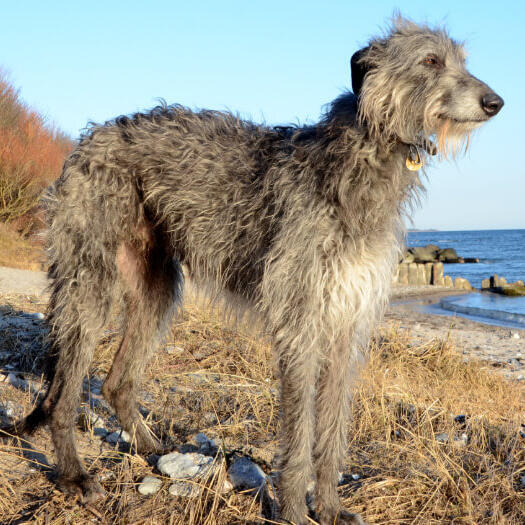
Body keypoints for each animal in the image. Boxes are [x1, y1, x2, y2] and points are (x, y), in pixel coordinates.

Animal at [4, 16, 504, 524]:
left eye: (461, 60)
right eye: (431, 60)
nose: (495, 102)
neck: (361, 156)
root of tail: (88, 140)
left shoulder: (346, 321)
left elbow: (332, 429)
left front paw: (329, 507)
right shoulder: (301, 320)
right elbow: (301, 432)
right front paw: (296, 510)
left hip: (155, 286)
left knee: (117, 382)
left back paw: (151, 449)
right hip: (91, 280)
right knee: (62, 397)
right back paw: (75, 476)